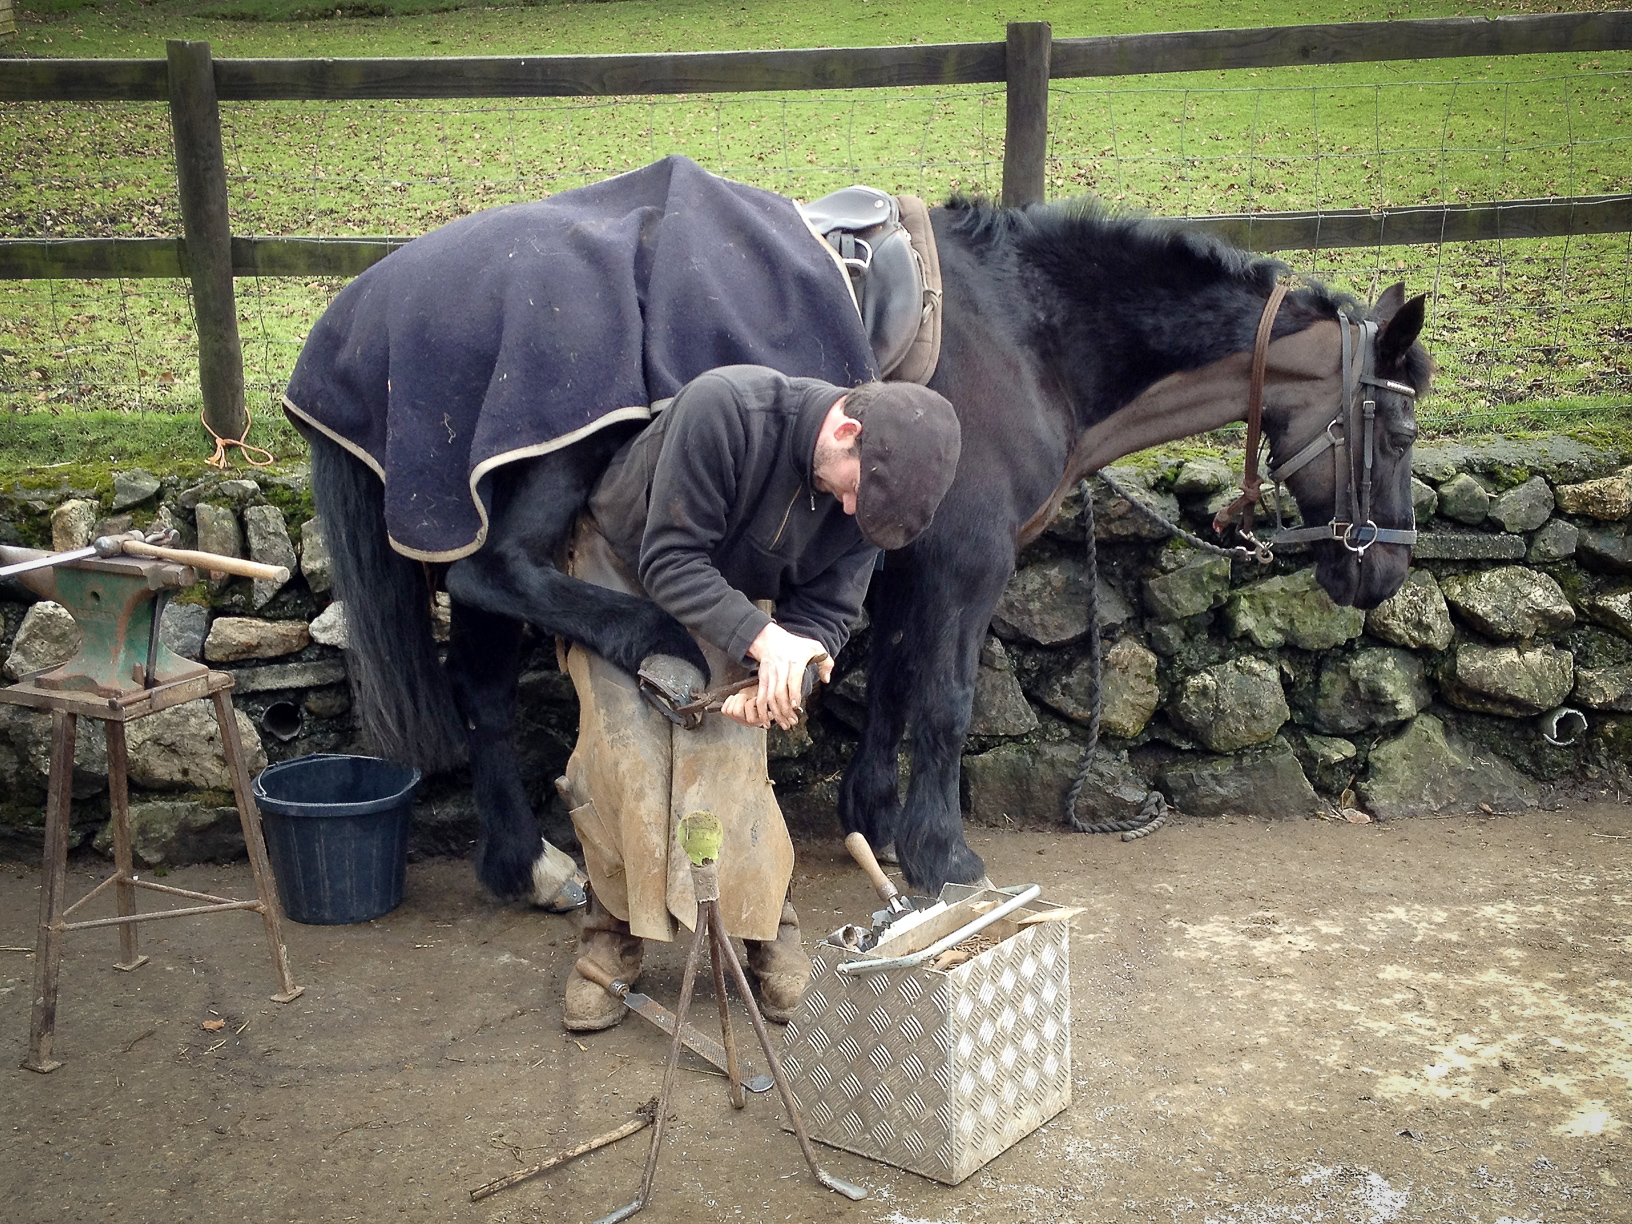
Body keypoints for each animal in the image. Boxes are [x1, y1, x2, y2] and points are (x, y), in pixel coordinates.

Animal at [306, 191, 1429, 907]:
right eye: (1402, 429)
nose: (1385, 571)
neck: (1024, 334)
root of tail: (366, 308)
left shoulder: (903, 561)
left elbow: (889, 682)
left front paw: (878, 819)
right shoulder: (968, 562)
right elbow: (945, 701)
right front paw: (945, 853)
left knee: (482, 683)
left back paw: (521, 861)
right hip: (542, 477)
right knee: (500, 577)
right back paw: (645, 642)